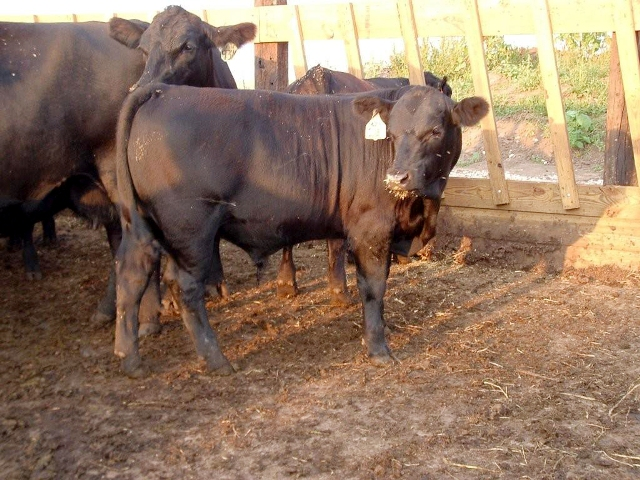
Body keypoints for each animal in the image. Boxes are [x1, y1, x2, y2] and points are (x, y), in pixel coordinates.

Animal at [112, 82, 489, 377]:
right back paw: (215, 360)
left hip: (143, 225)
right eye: (391, 133)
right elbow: (374, 288)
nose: (397, 177)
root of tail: (165, 90)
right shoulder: (370, 230)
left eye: (435, 131)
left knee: (131, 275)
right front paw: (378, 348)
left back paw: (129, 358)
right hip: (191, 229)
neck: (421, 208)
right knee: (184, 286)